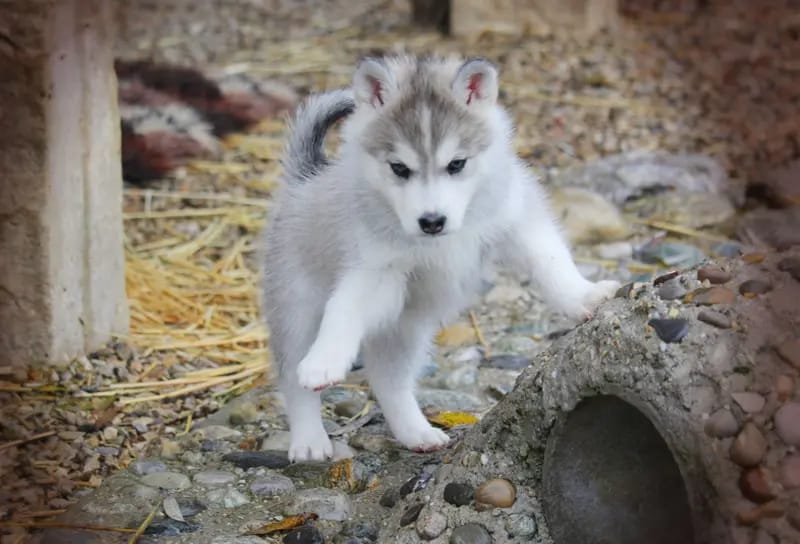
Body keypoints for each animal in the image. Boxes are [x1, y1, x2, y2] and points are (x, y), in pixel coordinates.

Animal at [261, 55, 620, 462]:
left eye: (457, 164)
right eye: (399, 168)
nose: (432, 221)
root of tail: (304, 179)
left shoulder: (519, 221)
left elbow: (552, 262)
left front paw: (584, 297)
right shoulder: (375, 269)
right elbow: (343, 309)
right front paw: (325, 361)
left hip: (405, 329)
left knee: (389, 381)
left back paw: (416, 433)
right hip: (297, 310)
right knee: (293, 380)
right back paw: (309, 440)